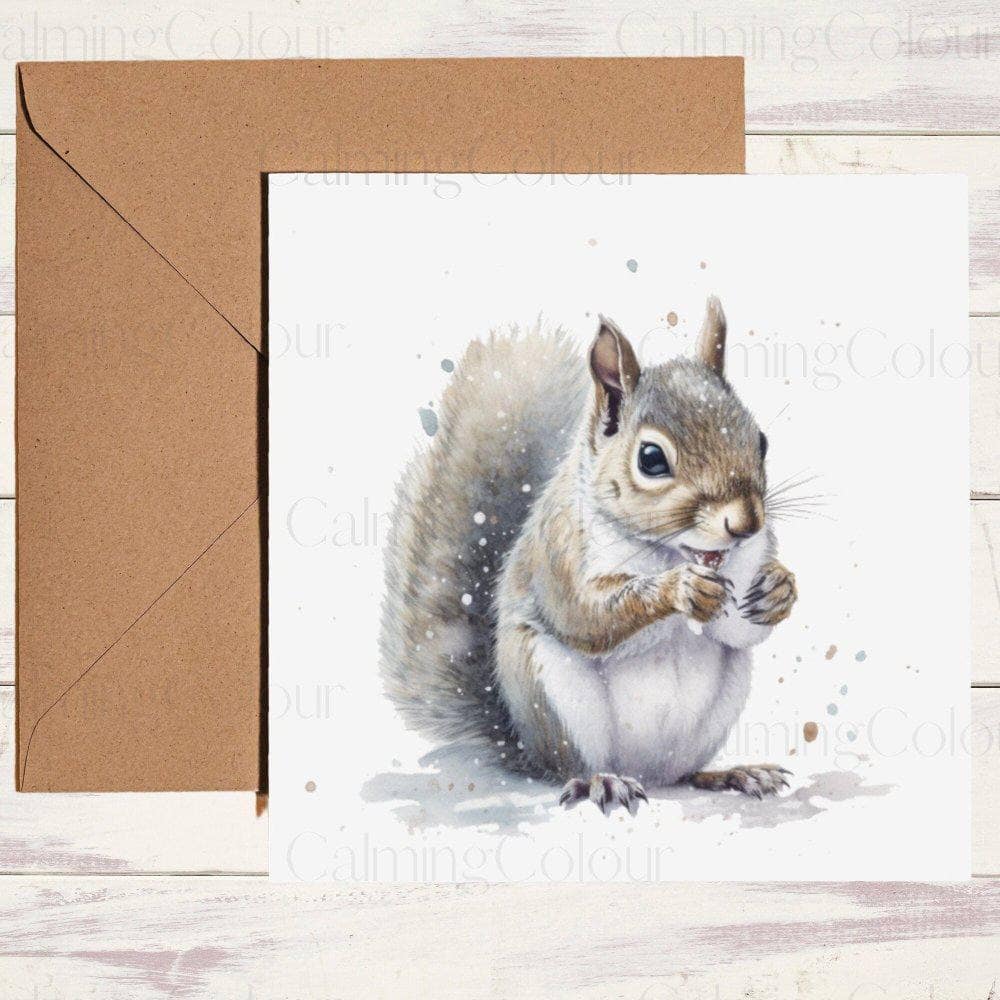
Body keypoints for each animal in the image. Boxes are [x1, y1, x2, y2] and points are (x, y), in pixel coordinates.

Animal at [381, 297, 798, 815]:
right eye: (651, 459)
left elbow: (738, 630)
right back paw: (602, 781)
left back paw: (731, 774)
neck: (669, 550)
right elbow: (585, 615)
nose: (745, 524)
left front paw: (779, 588)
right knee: (569, 767)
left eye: (760, 440)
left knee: (684, 772)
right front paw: (677, 589)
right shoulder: (561, 550)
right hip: (556, 698)